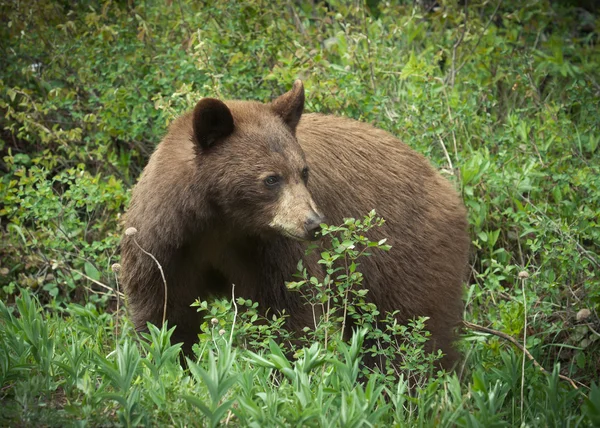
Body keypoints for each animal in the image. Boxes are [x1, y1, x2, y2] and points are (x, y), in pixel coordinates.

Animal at [119, 80, 472, 372]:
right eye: (271, 179)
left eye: (304, 171)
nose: (314, 224)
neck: (220, 223)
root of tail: (446, 187)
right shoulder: (166, 245)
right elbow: (166, 316)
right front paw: (170, 362)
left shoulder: (272, 251)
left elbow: (289, 312)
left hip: (409, 253)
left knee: (414, 328)